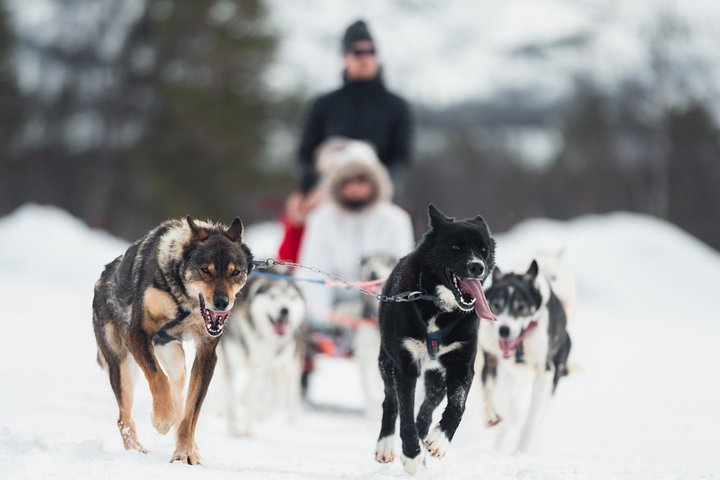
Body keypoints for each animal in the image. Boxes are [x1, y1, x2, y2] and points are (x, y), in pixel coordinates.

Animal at [92, 216, 253, 464]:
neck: (185, 300)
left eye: (235, 272)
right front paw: (162, 417)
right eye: (205, 270)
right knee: (124, 418)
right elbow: (157, 377)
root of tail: (103, 278)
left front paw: (185, 452)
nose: (221, 303)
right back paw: (138, 450)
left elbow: (191, 412)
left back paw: (189, 444)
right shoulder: (137, 334)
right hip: (122, 365)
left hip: (177, 364)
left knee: (179, 399)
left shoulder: (206, 355)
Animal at [221, 264, 308, 436]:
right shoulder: (230, 362)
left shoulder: (259, 366)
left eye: (292, 297)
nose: (285, 310)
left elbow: (253, 398)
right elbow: (230, 398)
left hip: (289, 362)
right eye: (272, 296)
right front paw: (232, 427)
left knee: (288, 388)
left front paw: (249, 428)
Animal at [374, 204, 498, 474]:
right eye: (455, 247)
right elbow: (405, 415)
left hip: (438, 378)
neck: (440, 308)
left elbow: (457, 406)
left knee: (426, 410)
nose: (477, 267)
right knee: (391, 402)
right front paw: (411, 454)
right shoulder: (405, 366)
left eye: (483, 249)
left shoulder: (461, 365)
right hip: (386, 363)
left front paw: (440, 439)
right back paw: (387, 445)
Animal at [480, 262, 572, 454]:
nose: (504, 330)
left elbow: (531, 420)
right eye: (496, 304)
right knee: (511, 414)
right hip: (512, 381)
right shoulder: (490, 358)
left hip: (552, 379)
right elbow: (487, 391)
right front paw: (491, 416)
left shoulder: (544, 373)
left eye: (521, 307)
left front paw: (520, 451)